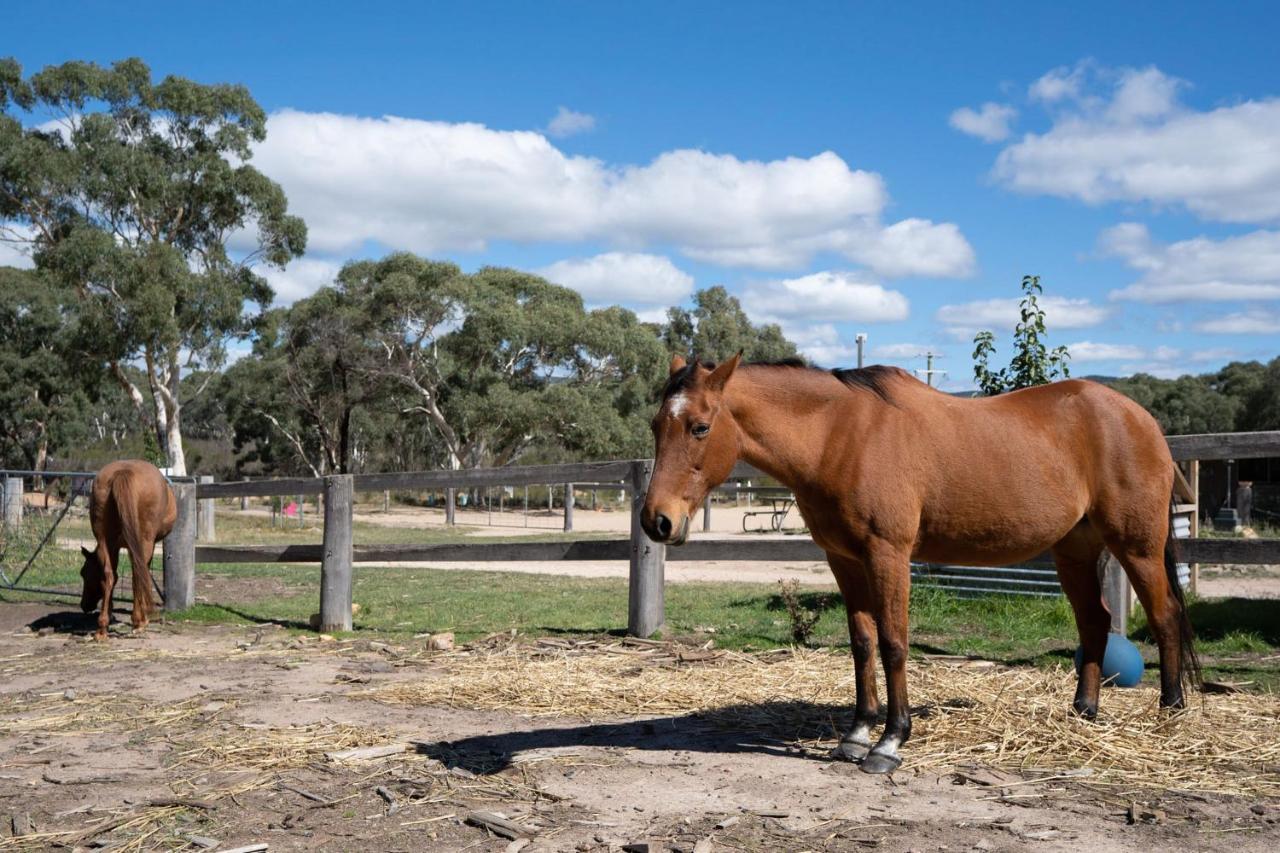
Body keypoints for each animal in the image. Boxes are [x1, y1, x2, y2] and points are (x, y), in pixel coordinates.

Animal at [79, 458, 176, 637]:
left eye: (84, 573)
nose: (85, 606)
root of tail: (122, 472)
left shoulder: (116, 547)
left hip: (105, 541)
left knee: (109, 575)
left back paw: (102, 629)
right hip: (144, 542)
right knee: (137, 575)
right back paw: (139, 622)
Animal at [645, 350, 1192, 768]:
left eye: (699, 427)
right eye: (656, 425)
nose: (657, 521)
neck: (839, 437)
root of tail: (1141, 418)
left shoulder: (887, 553)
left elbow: (893, 643)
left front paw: (890, 741)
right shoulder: (844, 560)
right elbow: (862, 644)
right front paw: (856, 735)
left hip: (1137, 546)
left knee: (1165, 617)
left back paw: (1171, 712)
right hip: (1075, 549)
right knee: (1095, 622)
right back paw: (1083, 712)